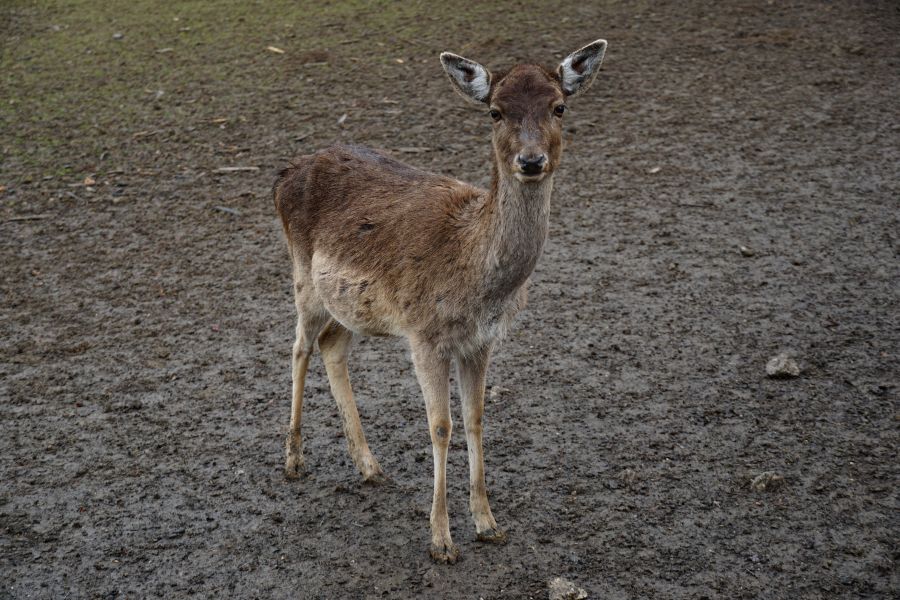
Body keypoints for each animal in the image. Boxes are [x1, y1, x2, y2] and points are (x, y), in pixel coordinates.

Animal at [272, 39, 607, 563]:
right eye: (494, 111)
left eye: (559, 106)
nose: (531, 160)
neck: (477, 278)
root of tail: (285, 172)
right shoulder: (424, 334)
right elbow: (440, 426)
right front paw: (441, 540)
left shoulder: (481, 340)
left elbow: (475, 418)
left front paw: (488, 524)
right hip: (303, 274)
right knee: (299, 347)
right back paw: (293, 461)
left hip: (349, 304)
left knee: (331, 346)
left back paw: (369, 466)